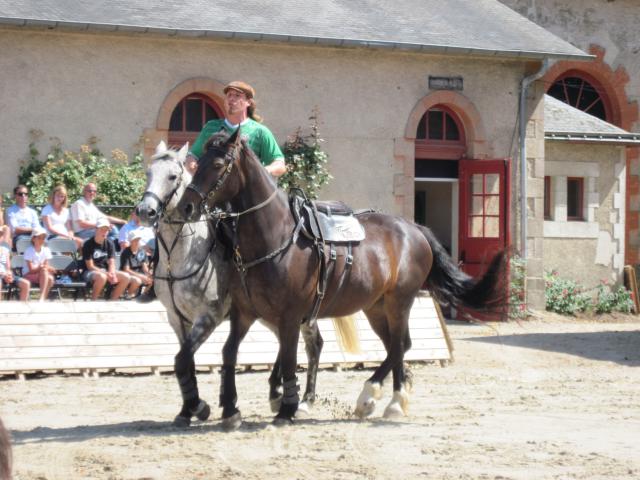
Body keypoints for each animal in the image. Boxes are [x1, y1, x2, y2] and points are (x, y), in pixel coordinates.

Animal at [176, 129, 504, 430]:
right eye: (197, 161)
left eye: (218, 163)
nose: (186, 206)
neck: (276, 237)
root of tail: (414, 229)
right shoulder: (244, 313)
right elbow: (229, 353)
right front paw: (231, 409)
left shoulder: (289, 316)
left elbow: (289, 358)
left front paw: (286, 409)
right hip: (375, 307)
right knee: (398, 346)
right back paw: (375, 398)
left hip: (399, 302)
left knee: (399, 345)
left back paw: (388, 400)